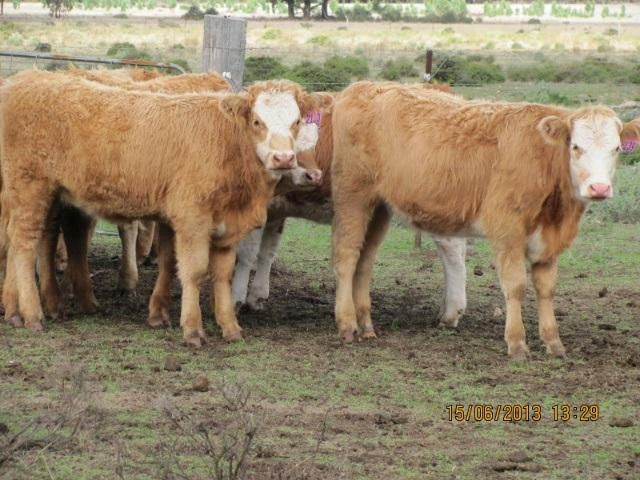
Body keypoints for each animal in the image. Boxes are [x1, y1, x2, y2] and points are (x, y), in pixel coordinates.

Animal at [0, 70, 326, 347]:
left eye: (297, 121)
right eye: (257, 121)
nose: (283, 158)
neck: (227, 144)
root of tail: (25, 79)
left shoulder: (225, 226)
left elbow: (220, 274)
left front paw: (230, 327)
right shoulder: (192, 219)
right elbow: (194, 271)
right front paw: (192, 329)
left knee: (20, 240)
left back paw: (15, 311)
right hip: (30, 186)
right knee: (25, 244)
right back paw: (32, 314)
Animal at [330, 81, 640, 359]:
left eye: (616, 149)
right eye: (576, 147)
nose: (599, 188)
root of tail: (360, 88)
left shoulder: (548, 240)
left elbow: (546, 288)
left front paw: (554, 343)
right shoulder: (508, 230)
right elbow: (515, 285)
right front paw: (517, 344)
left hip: (380, 208)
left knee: (365, 261)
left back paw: (366, 326)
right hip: (353, 197)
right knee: (347, 257)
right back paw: (347, 325)